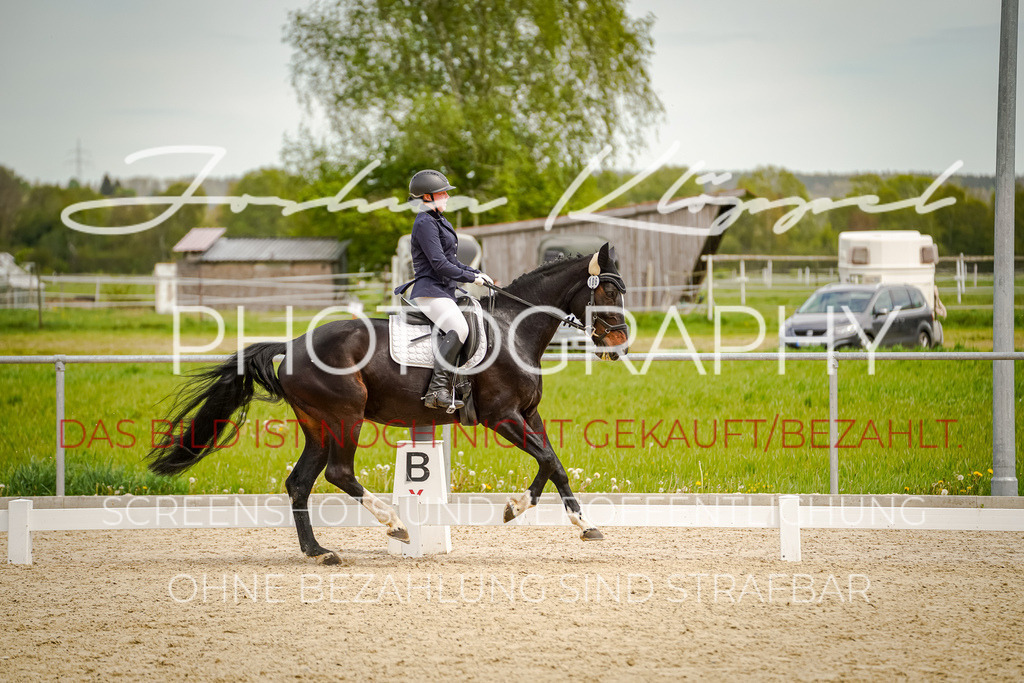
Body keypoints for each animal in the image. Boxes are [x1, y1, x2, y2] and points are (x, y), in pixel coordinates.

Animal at [147, 242, 626, 565]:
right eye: (607, 293)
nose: (619, 348)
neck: (513, 330)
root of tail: (293, 344)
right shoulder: (502, 416)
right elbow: (548, 459)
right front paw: (525, 509)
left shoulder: (528, 414)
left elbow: (553, 463)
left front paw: (573, 522)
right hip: (345, 416)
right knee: (339, 473)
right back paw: (394, 524)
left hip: (318, 425)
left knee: (299, 482)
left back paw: (318, 551)